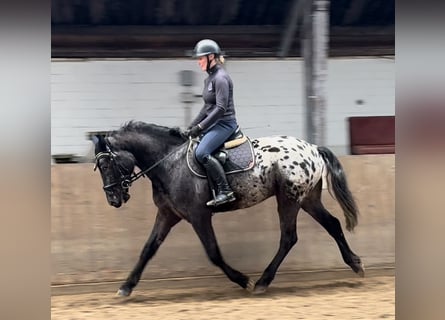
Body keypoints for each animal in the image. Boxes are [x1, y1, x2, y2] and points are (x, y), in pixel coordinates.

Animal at [92, 121, 362, 296]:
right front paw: (126, 286)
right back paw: (355, 264)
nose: (113, 199)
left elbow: (213, 253)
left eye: (105, 165)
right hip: (308, 199)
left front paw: (243, 280)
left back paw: (262, 282)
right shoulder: (168, 214)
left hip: (289, 199)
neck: (169, 163)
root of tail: (313, 148)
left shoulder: (198, 216)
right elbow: (148, 249)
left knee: (288, 237)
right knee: (333, 224)